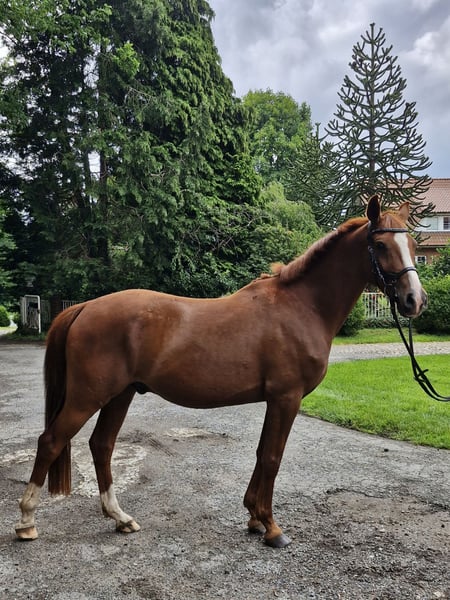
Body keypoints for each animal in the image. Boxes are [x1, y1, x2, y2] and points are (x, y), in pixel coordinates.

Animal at [15, 195, 427, 548]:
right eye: (380, 245)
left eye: (411, 245)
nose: (415, 300)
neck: (302, 306)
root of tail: (84, 307)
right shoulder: (286, 397)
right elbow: (273, 457)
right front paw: (272, 528)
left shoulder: (275, 400)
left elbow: (262, 454)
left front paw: (255, 518)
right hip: (87, 396)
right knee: (50, 442)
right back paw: (27, 521)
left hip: (120, 394)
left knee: (102, 446)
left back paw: (121, 518)